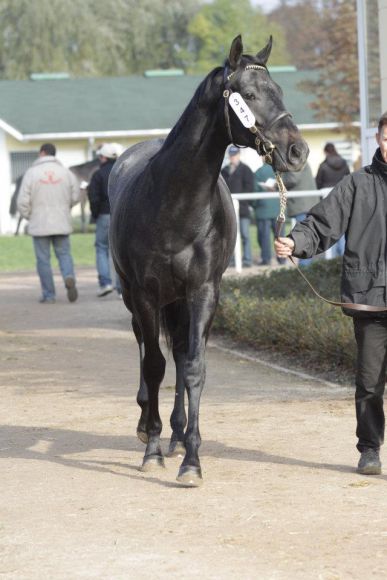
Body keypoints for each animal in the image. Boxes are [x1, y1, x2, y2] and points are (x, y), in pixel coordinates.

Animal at [109, 32, 310, 484]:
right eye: (248, 95)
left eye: (279, 89)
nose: (298, 151)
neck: (174, 204)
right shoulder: (146, 295)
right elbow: (154, 365)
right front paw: (152, 451)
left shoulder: (203, 292)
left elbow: (194, 368)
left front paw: (191, 460)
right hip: (134, 297)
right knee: (147, 350)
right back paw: (149, 424)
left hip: (181, 301)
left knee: (182, 354)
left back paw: (178, 433)